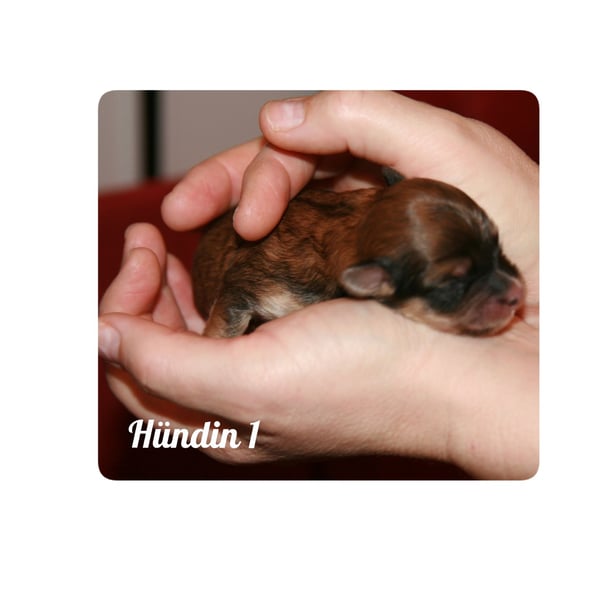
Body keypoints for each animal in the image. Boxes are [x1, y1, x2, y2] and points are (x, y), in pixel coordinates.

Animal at [192, 172, 524, 338]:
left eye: (498, 247)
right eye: (452, 284)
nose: (518, 294)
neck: (354, 226)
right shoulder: (246, 287)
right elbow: (227, 320)